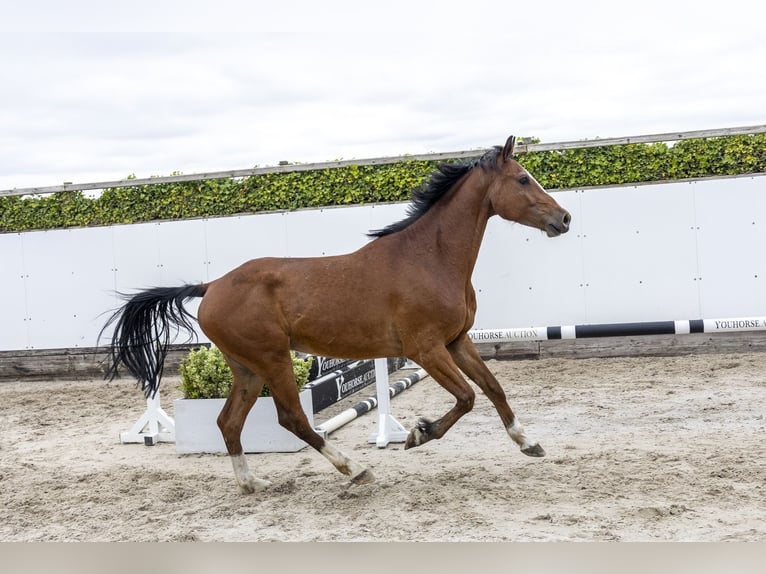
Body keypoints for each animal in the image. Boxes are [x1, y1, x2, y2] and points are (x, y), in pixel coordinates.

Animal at [100, 135, 571, 493]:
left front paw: (528, 443)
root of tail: (211, 286)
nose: (564, 218)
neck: (429, 257)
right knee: (292, 418)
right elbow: (468, 397)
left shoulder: (456, 341)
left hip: (247, 368)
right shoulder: (426, 349)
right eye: (523, 179)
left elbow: (493, 388)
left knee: (228, 421)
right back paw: (356, 470)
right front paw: (417, 435)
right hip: (273, 360)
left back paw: (251, 484)